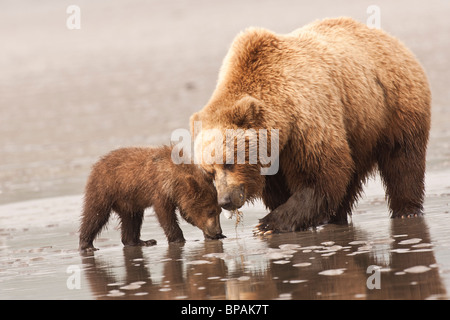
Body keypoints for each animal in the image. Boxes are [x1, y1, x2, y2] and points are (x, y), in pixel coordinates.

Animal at [189, 17, 428, 232]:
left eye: (229, 162)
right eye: (209, 173)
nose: (225, 200)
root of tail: (392, 40)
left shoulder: (306, 121)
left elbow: (322, 173)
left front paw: (269, 224)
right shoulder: (276, 154)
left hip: (394, 104)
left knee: (403, 159)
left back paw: (406, 210)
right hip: (360, 128)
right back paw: (337, 216)